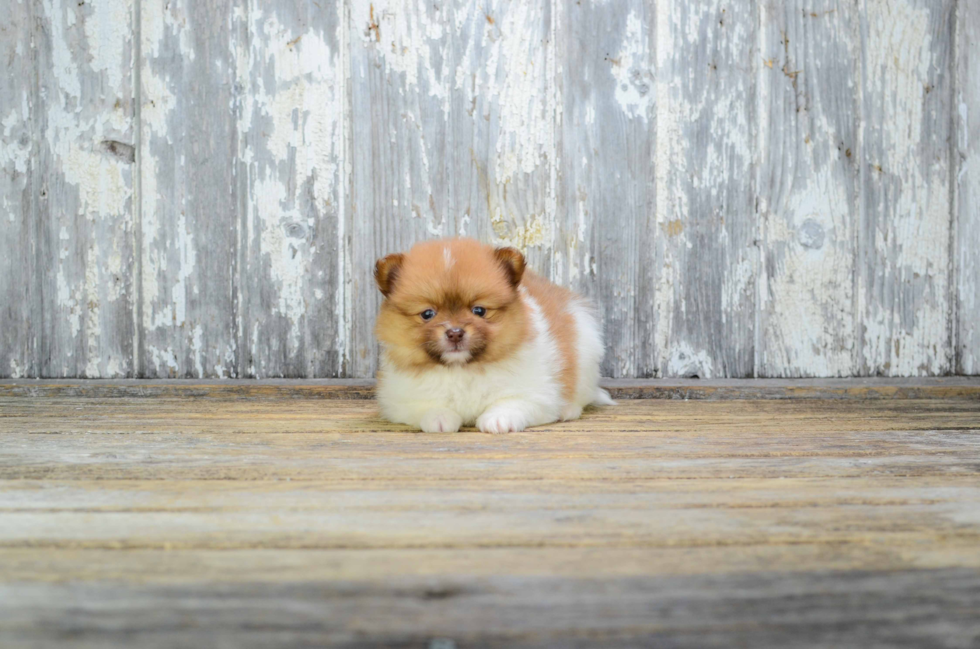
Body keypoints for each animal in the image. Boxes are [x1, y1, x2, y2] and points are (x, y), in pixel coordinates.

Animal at [376, 235, 612, 432]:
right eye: (427, 314)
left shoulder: (536, 393)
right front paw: (439, 418)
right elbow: (427, 406)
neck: (462, 368)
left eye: (479, 311)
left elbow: (513, 402)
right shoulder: (401, 400)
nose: (455, 333)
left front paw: (499, 419)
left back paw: (568, 409)